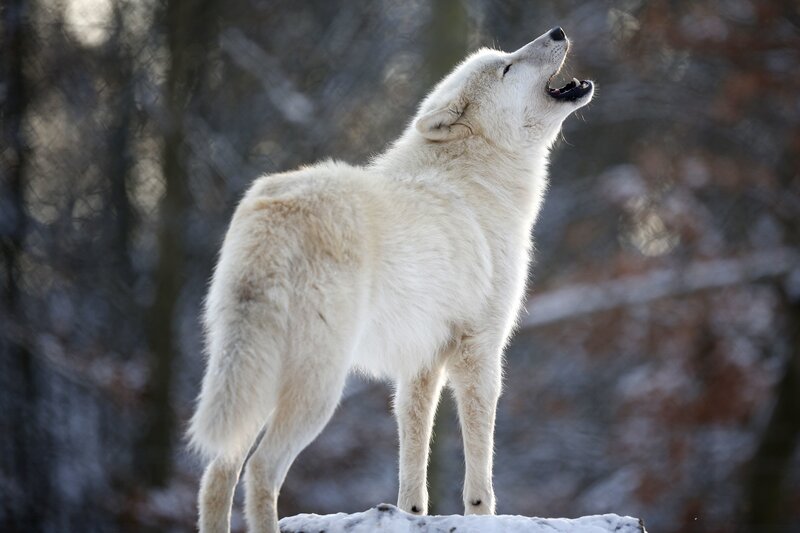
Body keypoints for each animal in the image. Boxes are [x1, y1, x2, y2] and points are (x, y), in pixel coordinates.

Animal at [189, 26, 593, 533]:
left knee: (216, 473)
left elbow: (413, 452)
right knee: (260, 470)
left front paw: (410, 514)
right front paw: (481, 515)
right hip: (318, 388)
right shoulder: (479, 350)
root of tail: (275, 211)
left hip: (255, 378)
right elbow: (480, 463)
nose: (557, 31)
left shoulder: (421, 361)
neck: (479, 179)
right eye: (507, 67)